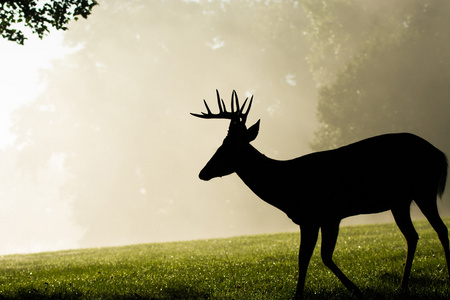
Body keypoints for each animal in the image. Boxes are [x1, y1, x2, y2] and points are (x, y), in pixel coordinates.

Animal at [192, 90, 448, 298]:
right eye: (221, 144)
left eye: (229, 148)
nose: (202, 173)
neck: (284, 187)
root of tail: (440, 154)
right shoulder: (317, 219)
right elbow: (310, 257)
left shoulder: (323, 216)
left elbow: (314, 257)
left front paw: (354, 290)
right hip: (400, 201)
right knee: (412, 236)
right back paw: (403, 287)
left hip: (424, 189)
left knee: (440, 229)